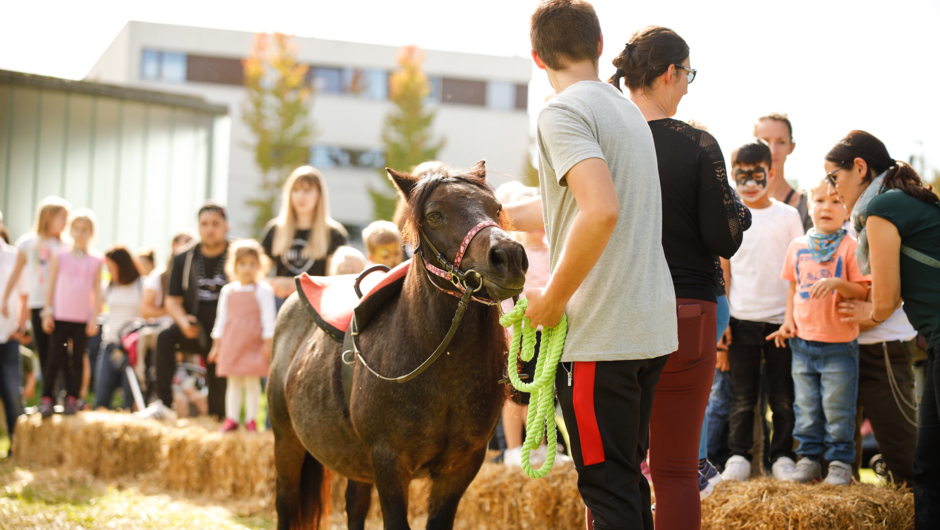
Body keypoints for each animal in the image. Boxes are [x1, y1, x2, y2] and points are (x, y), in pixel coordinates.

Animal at [268, 162, 528, 528]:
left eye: (496, 208)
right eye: (435, 215)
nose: (509, 256)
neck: (442, 364)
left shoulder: (462, 465)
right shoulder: (389, 463)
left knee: (355, 505)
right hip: (287, 442)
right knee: (286, 502)